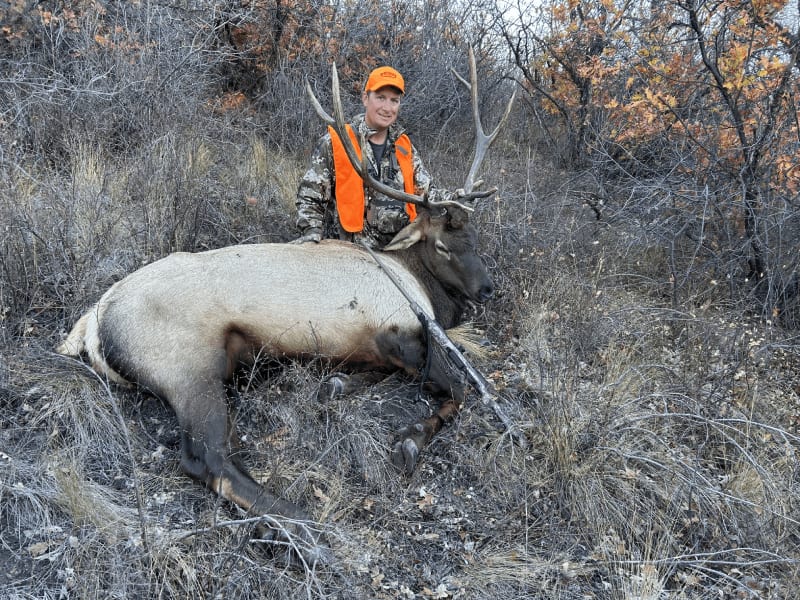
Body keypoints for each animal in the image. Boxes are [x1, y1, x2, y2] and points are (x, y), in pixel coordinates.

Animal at [56, 48, 515, 563]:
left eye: (474, 235)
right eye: (441, 244)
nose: (487, 289)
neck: (415, 282)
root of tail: (92, 323)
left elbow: (362, 377)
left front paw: (337, 386)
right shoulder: (399, 333)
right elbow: (458, 389)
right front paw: (407, 443)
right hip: (188, 366)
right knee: (205, 457)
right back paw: (305, 530)